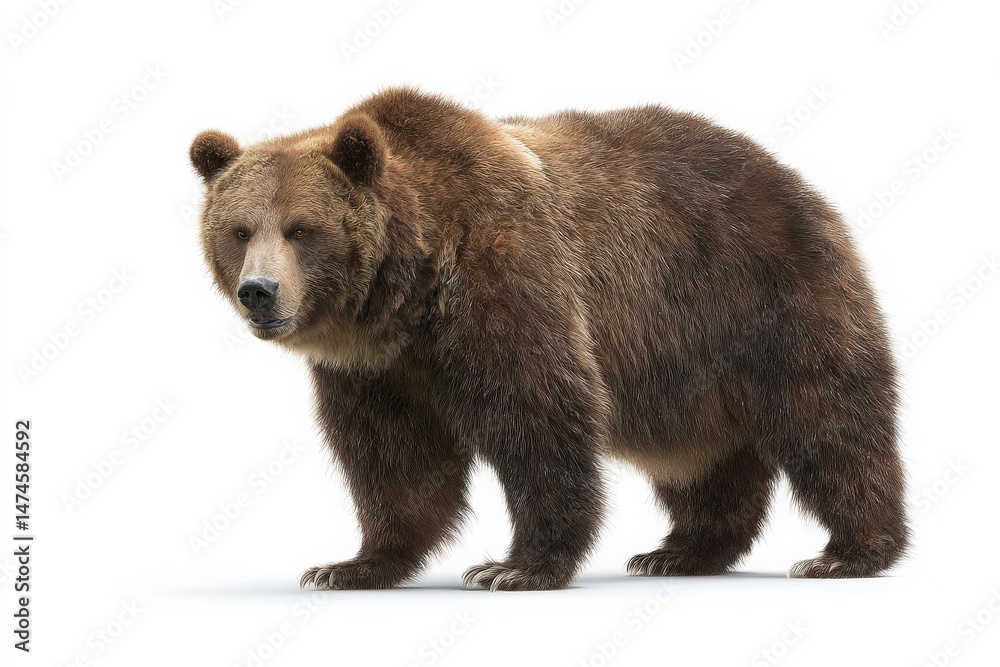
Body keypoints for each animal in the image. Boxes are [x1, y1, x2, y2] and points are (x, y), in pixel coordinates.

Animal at [190, 86, 909, 591]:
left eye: (301, 229)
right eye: (240, 229)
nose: (259, 290)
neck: (407, 296)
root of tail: (787, 173)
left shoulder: (506, 279)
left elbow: (539, 415)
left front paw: (513, 567)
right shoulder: (375, 368)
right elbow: (396, 460)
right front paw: (350, 564)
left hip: (762, 295)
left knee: (829, 418)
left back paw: (848, 552)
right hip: (685, 369)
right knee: (701, 457)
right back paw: (678, 550)